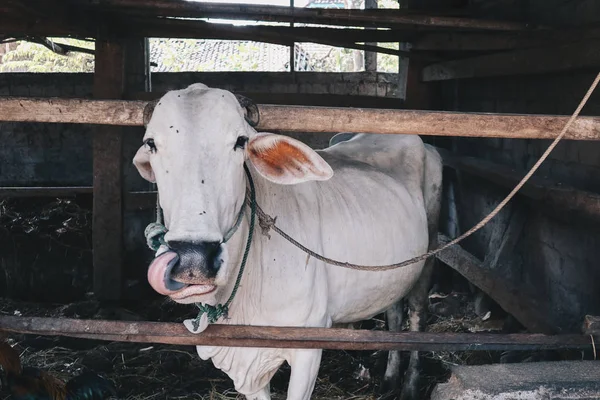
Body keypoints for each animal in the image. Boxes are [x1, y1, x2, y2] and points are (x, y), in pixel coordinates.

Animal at [134, 83, 442, 400]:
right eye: (151, 143)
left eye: (240, 141)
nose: (193, 259)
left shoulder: (308, 345)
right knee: (394, 313)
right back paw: (391, 378)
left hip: (428, 257)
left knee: (417, 317)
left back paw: (410, 384)